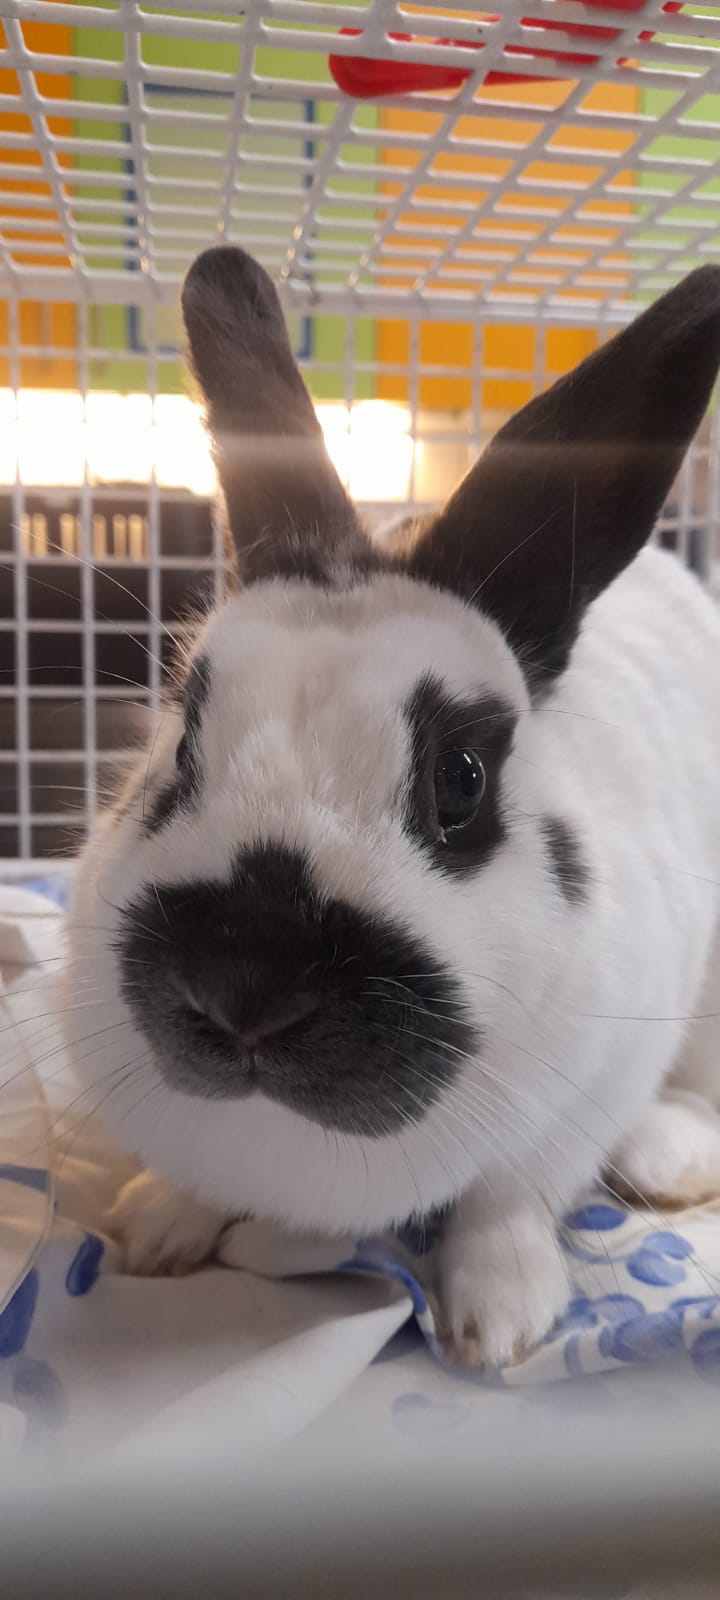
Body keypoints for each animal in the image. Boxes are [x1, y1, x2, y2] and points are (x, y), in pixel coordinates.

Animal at [60, 247, 720, 1367]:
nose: (242, 987)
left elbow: (509, 1195)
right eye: (181, 745)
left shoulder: (584, 1090)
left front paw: (498, 1323)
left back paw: (670, 1158)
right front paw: (157, 1225)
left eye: (462, 777)